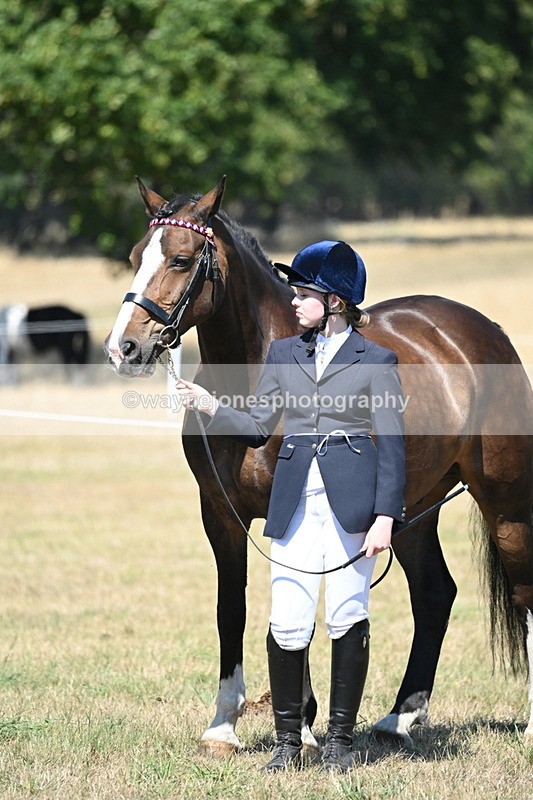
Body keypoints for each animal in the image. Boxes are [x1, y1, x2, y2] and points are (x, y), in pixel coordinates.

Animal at [105, 176, 533, 754]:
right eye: (134, 256)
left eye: (181, 258)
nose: (123, 348)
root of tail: (486, 330)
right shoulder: (219, 514)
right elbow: (231, 609)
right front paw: (223, 726)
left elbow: (298, 605)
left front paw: (303, 727)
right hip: (410, 508)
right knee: (434, 594)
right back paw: (400, 717)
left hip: (506, 502)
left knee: (524, 592)